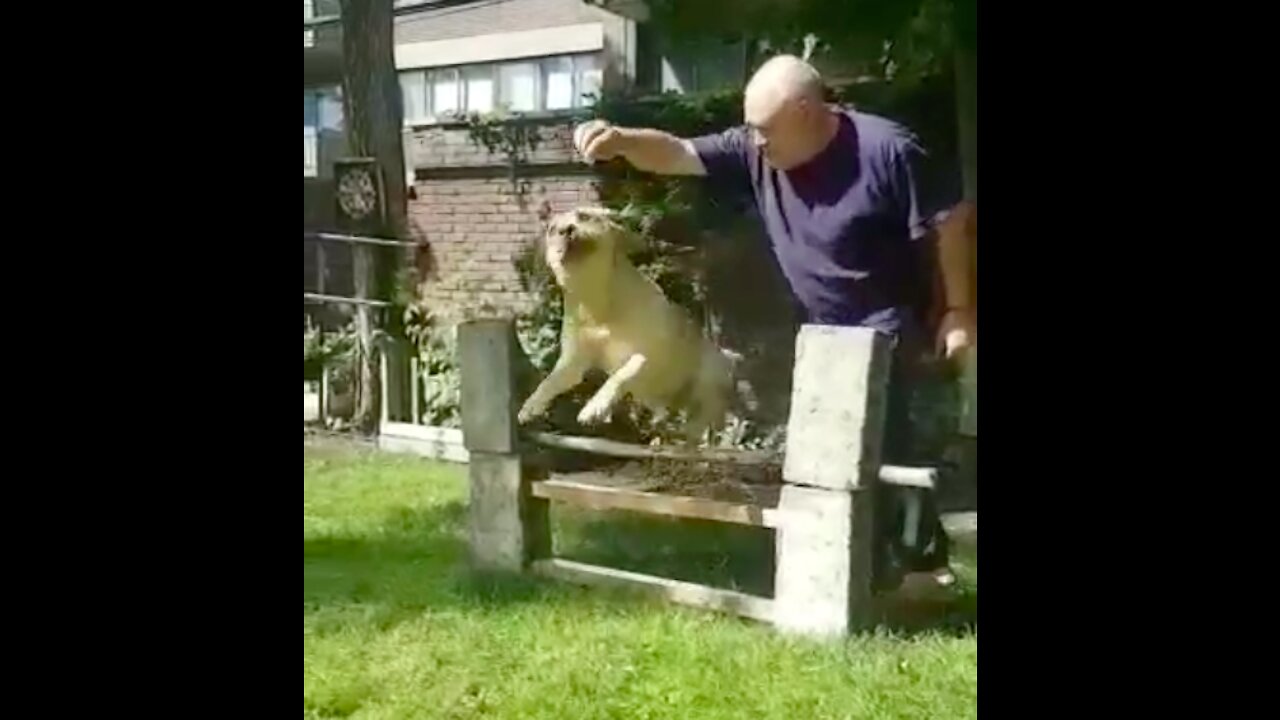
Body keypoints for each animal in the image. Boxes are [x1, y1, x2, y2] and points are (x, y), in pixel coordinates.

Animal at [514, 204, 737, 443]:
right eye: (552, 230)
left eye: (585, 216)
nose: (565, 230)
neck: (595, 298)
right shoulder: (573, 363)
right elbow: (549, 381)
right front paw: (530, 406)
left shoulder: (646, 354)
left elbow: (622, 374)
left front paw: (594, 407)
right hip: (651, 397)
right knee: (668, 413)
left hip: (710, 377)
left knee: (706, 416)